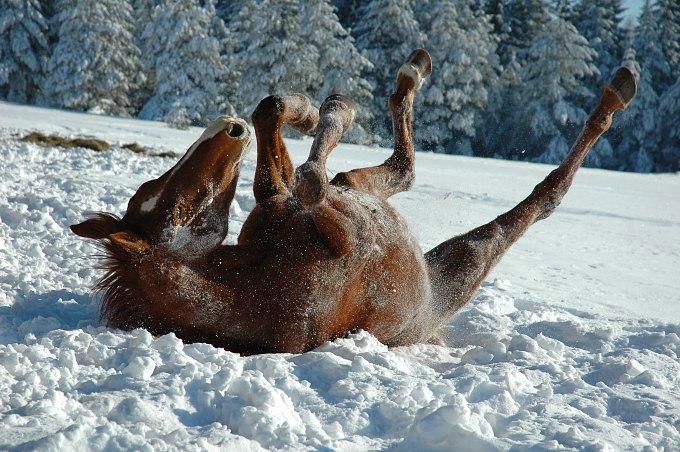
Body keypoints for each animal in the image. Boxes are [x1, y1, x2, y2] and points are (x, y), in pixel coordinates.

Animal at [71, 48, 636, 354]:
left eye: (158, 188)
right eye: (179, 209)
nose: (226, 128)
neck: (251, 277)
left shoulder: (282, 206)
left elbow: (276, 135)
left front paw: (308, 109)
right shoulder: (344, 239)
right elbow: (307, 181)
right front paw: (328, 112)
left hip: (368, 189)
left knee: (393, 169)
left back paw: (408, 73)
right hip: (464, 262)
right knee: (539, 200)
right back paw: (616, 93)